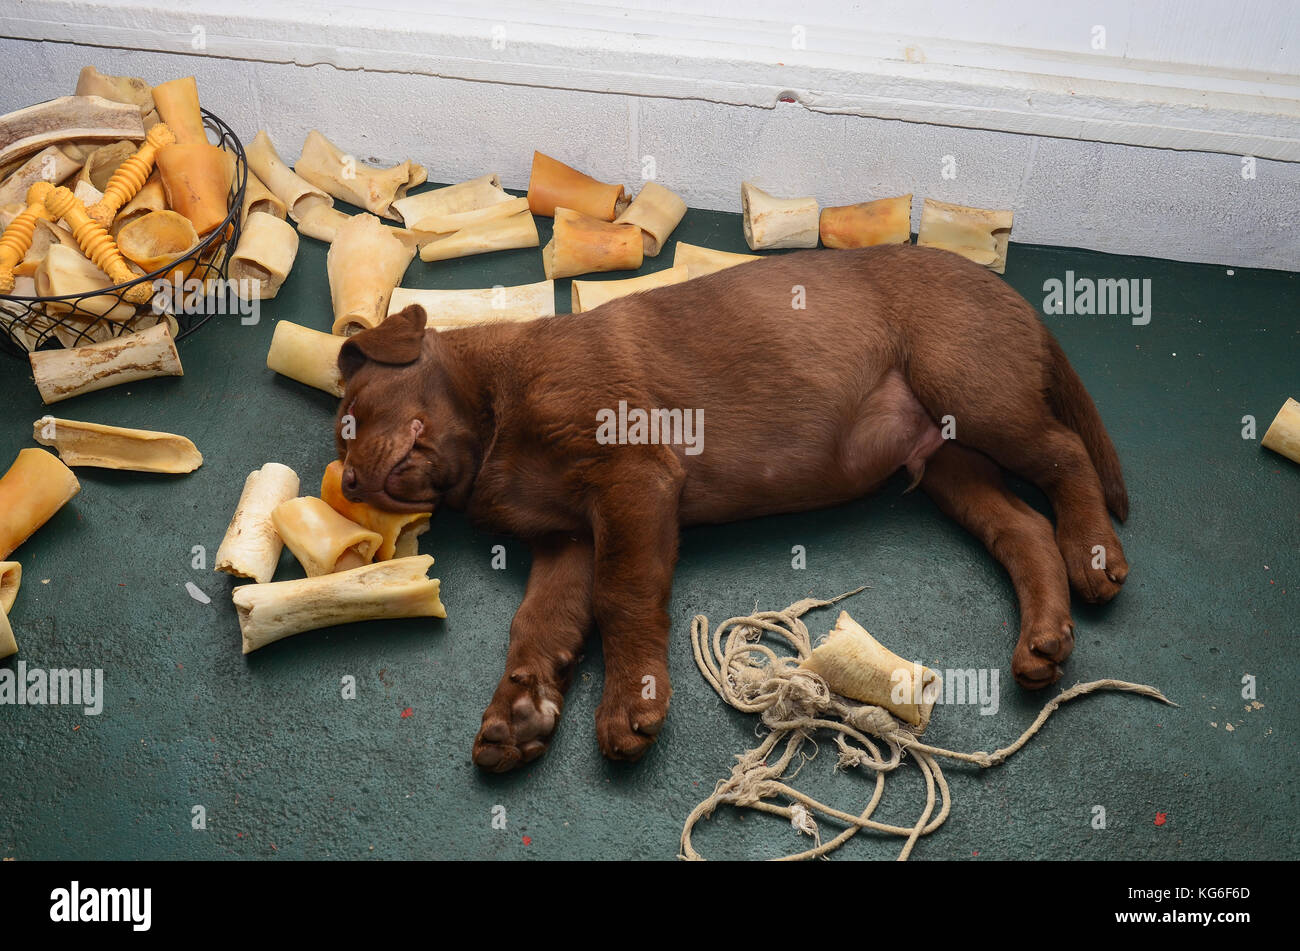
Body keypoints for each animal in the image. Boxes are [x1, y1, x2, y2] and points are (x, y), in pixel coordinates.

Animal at [338, 245, 1128, 774]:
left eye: (350, 415)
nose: (346, 482)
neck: (493, 410)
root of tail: (1015, 299)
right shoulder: (567, 540)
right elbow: (539, 624)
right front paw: (518, 713)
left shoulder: (633, 475)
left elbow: (622, 595)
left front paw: (630, 704)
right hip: (947, 459)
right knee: (1025, 527)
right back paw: (1043, 640)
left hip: (968, 385)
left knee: (1066, 456)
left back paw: (1095, 554)